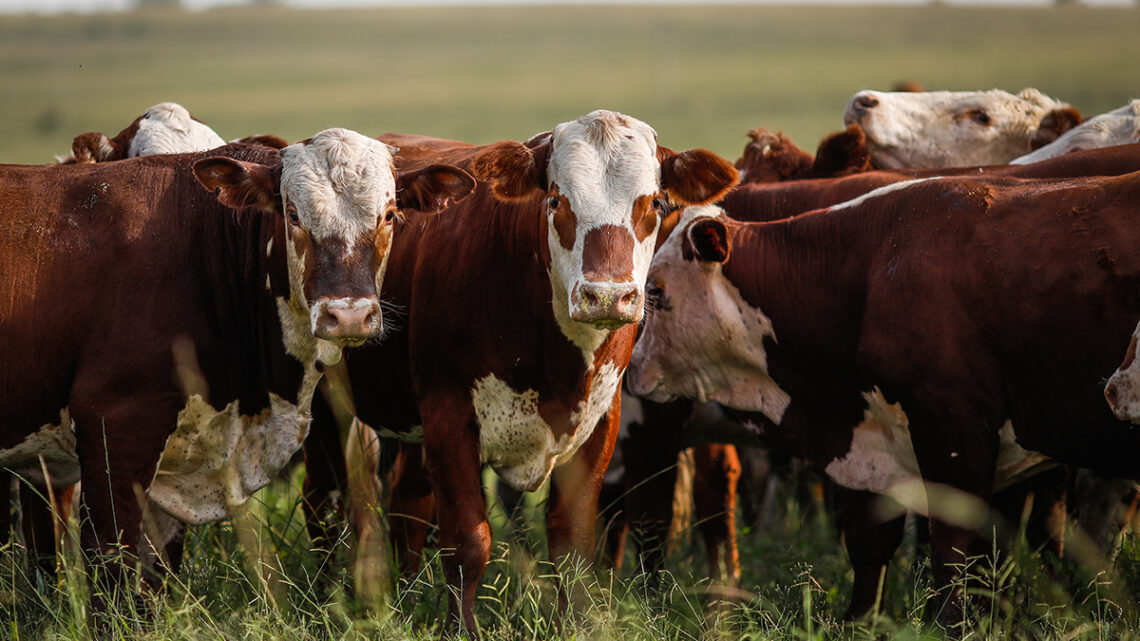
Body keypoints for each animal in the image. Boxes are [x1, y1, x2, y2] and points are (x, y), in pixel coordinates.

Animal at [296, 108, 738, 634]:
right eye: (556, 200)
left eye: (653, 202)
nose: (607, 296)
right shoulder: (450, 418)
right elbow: (468, 540)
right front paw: (460, 630)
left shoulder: (599, 424)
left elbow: (571, 544)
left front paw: (575, 627)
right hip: (328, 409)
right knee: (322, 505)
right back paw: (324, 600)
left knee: (408, 503)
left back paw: (406, 597)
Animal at [629, 172, 1140, 620]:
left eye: (655, 291)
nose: (632, 370)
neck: (870, 270)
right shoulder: (880, 445)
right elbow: (873, 547)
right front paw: (863, 620)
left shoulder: (955, 434)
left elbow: (955, 554)